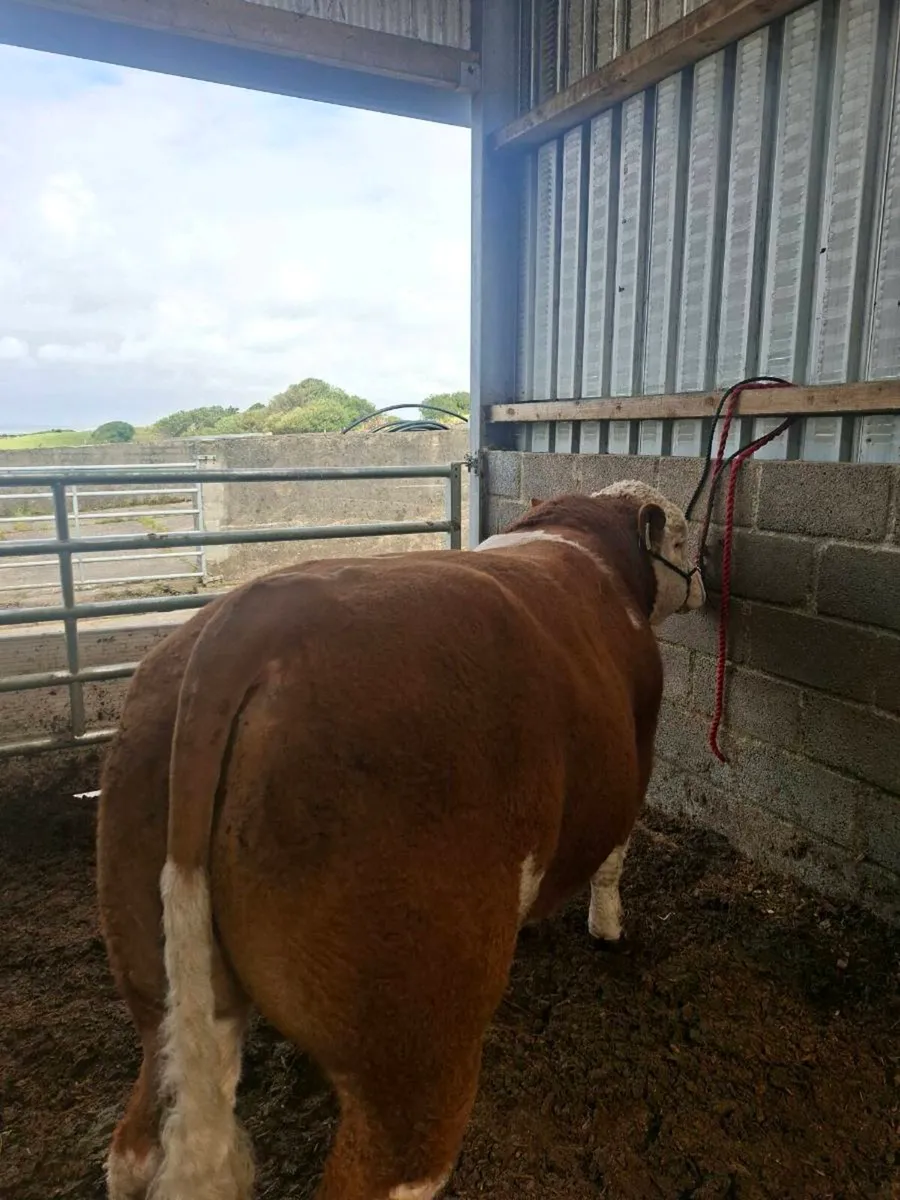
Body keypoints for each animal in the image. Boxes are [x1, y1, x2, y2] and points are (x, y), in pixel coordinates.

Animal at [96, 479, 705, 1200]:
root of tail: (246, 624)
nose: (703, 583)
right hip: (414, 1035)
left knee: (134, 1143)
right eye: (684, 536)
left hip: (156, 974)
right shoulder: (636, 756)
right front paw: (607, 928)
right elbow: (613, 859)